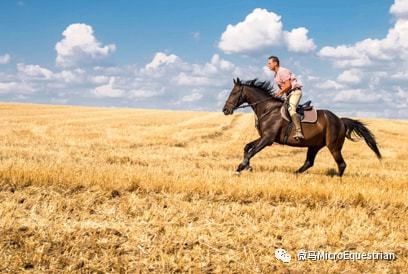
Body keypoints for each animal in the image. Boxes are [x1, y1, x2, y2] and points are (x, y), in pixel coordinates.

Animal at [222, 77, 380, 176]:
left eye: (234, 93)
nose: (225, 110)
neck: (268, 109)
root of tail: (340, 120)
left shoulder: (268, 139)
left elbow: (251, 151)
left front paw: (240, 168)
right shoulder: (264, 137)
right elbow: (247, 147)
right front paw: (247, 166)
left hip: (333, 146)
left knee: (341, 164)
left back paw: (336, 179)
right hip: (314, 145)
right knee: (309, 162)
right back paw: (295, 174)